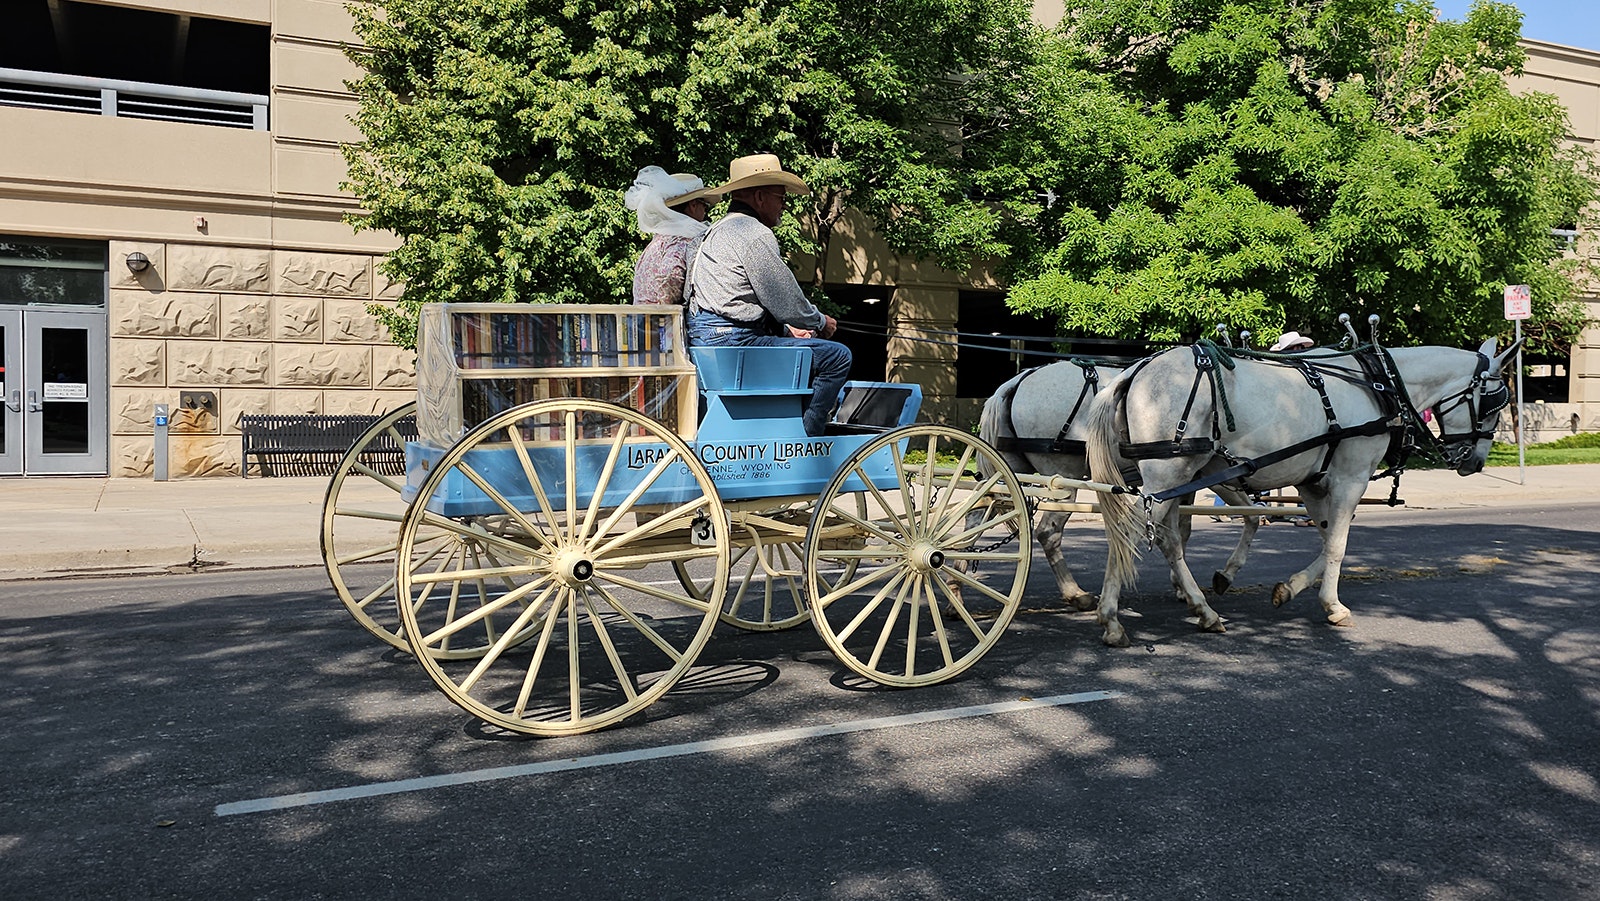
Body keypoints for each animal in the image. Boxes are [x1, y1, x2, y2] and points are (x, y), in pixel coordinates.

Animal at [972, 356, 1260, 611]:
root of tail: (1018, 380)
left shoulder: (1182, 480)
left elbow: (1183, 528)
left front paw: (1181, 584)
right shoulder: (1211, 475)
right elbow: (1248, 516)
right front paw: (1197, 582)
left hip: (1008, 469)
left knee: (976, 514)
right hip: (1063, 478)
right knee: (1047, 532)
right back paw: (1075, 593)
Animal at [1088, 339, 1510, 649]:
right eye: (1494, 404)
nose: (1475, 461)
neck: (1377, 384)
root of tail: (1136, 369)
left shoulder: (1312, 482)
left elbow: (1326, 538)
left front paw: (1289, 589)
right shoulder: (1350, 478)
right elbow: (1338, 543)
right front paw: (1333, 606)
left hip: (1176, 477)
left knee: (1168, 541)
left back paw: (1202, 610)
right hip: (1167, 473)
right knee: (1131, 533)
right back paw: (1111, 619)